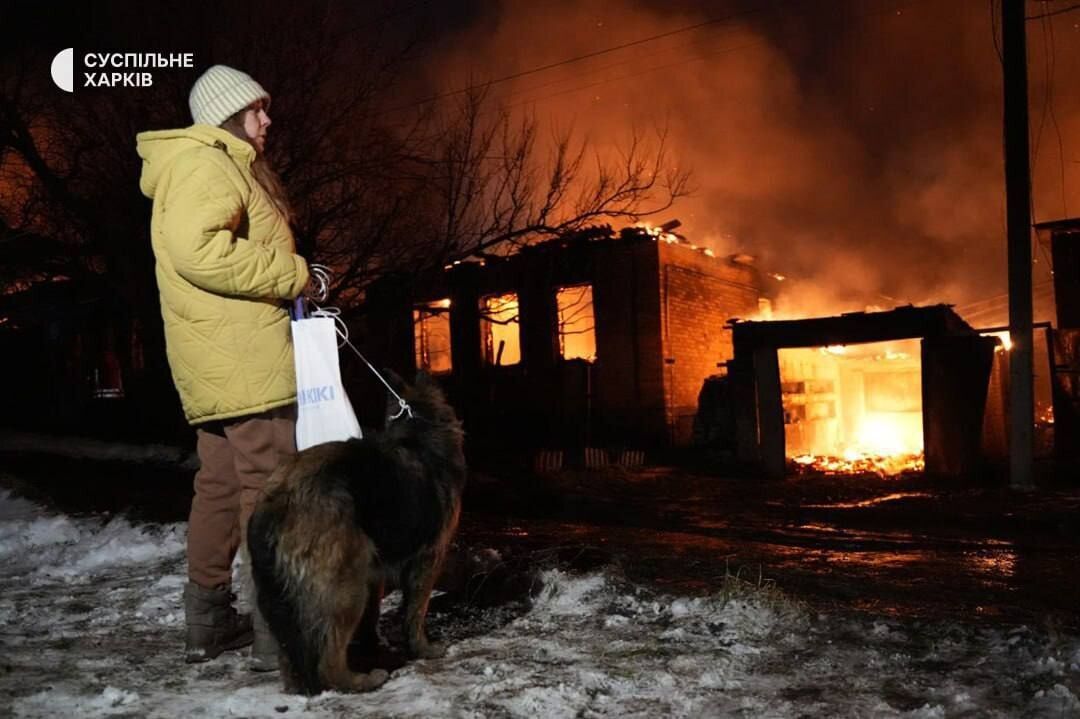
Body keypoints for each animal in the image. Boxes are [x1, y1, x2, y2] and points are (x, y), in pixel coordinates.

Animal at [248, 371, 468, 690]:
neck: (416, 431)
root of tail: (277, 500)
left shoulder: (376, 570)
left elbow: (375, 614)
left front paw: (373, 644)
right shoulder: (428, 559)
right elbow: (415, 612)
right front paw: (422, 649)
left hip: (283, 599)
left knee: (290, 657)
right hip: (348, 586)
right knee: (328, 660)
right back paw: (362, 681)